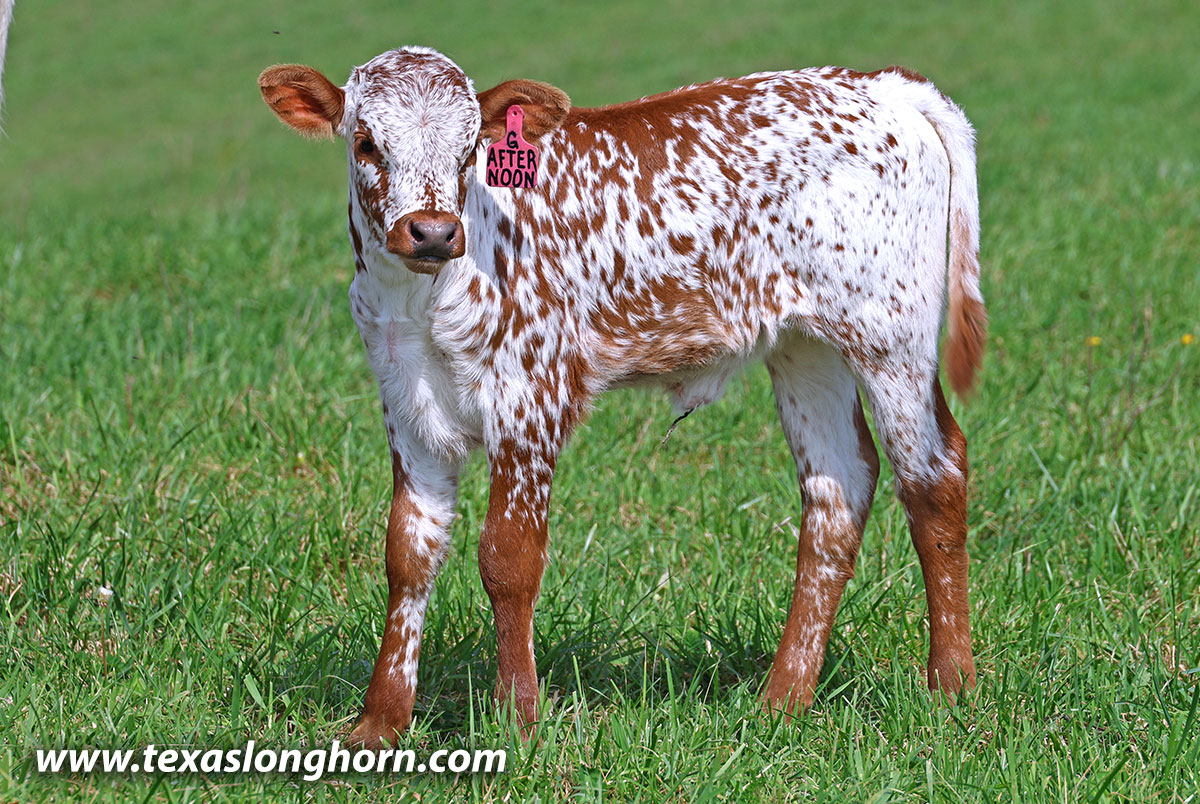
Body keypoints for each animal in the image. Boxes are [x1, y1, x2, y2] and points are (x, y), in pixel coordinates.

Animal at [258, 45, 986, 746]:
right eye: (365, 144)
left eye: (470, 152)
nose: (433, 232)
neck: (422, 297)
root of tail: (877, 82)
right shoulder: (407, 409)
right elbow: (408, 556)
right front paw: (379, 725)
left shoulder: (531, 398)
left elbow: (508, 559)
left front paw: (518, 720)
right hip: (806, 347)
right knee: (839, 489)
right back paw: (781, 702)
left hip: (890, 335)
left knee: (933, 474)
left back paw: (951, 686)